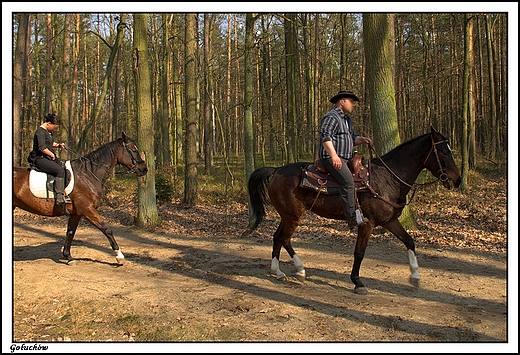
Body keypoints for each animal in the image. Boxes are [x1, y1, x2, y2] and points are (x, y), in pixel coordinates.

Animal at [13, 132, 147, 266]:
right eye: (134, 150)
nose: (144, 169)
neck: (87, 175)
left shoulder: (76, 213)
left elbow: (70, 232)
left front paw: (68, 257)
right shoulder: (87, 209)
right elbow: (106, 229)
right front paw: (119, 256)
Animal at [246, 127, 462, 294]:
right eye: (443, 151)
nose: (458, 180)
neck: (387, 178)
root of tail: (276, 170)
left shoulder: (389, 221)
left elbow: (409, 241)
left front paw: (415, 276)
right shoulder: (367, 223)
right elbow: (359, 252)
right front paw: (357, 282)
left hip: (288, 215)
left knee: (278, 237)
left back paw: (284, 271)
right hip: (292, 216)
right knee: (283, 238)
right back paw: (293, 269)